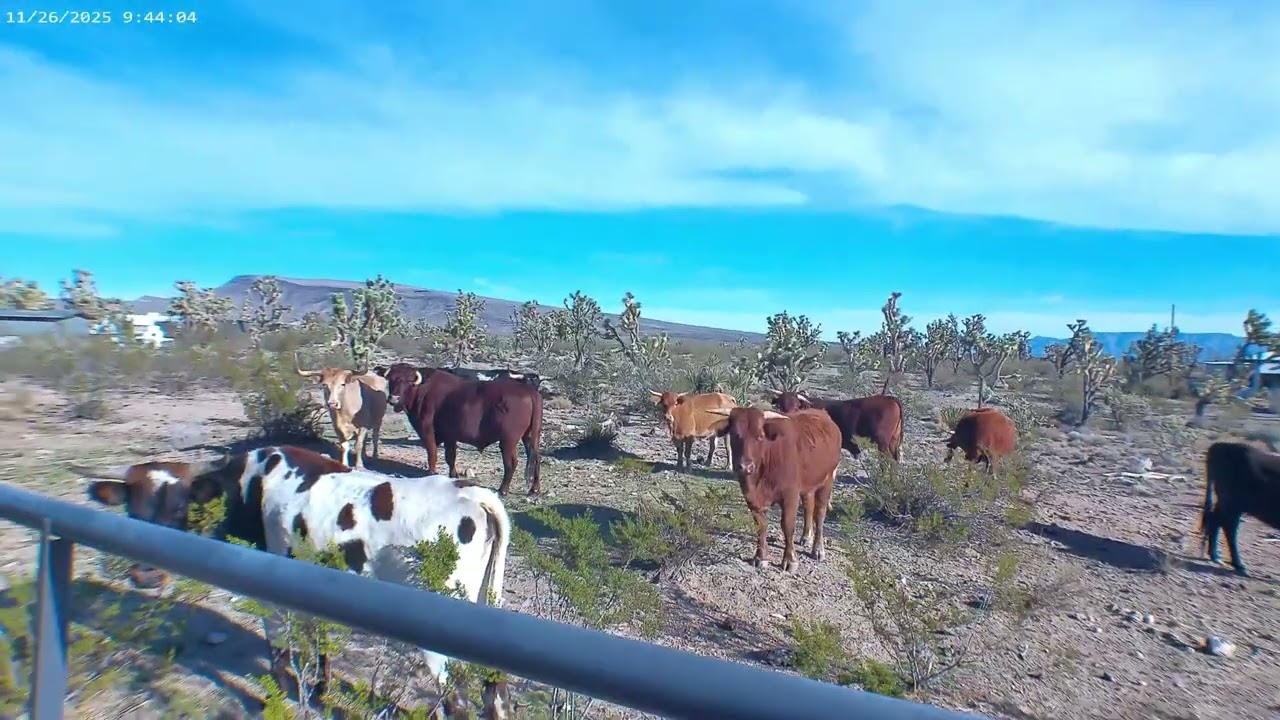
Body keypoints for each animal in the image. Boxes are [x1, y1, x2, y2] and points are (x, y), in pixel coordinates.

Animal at [69, 445, 510, 718]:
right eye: (133, 510)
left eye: (181, 509)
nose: (146, 574)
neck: (249, 487)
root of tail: (474, 493)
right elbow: (322, 641)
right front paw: (320, 688)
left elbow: (279, 648)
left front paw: (283, 692)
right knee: (495, 690)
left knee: (457, 701)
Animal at [381, 363, 542, 496]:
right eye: (391, 379)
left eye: (407, 381)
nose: (393, 398)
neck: (423, 390)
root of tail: (529, 391)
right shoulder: (450, 436)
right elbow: (450, 457)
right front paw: (453, 475)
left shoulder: (427, 430)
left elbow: (432, 453)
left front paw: (431, 473)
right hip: (529, 436)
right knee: (536, 457)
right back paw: (534, 489)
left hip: (508, 441)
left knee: (511, 463)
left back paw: (503, 490)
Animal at [706, 406, 842, 571]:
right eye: (734, 434)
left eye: (760, 436)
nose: (745, 467)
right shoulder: (752, 498)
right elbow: (761, 525)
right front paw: (760, 557)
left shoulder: (790, 495)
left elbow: (787, 525)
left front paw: (790, 559)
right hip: (808, 485)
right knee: (809, 507)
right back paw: (806, 537)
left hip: (827, 480)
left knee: (820, 513)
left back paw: (818, 549)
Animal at [1200, 441, 1280, 577]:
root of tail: (1221, 445)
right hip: (1232, 504)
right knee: (1228, 527)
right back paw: (1238, 565)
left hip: (1228, 504)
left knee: (1216, 521)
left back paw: (1215, 556)